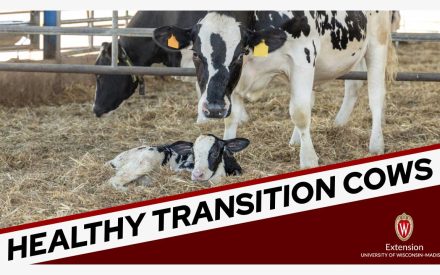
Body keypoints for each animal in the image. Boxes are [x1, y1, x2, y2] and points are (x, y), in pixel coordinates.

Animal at [108, 135, 249, 191]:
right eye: (194, 153)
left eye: (215, 153)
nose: (197, 174)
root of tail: (114, 160)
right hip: (145, 162)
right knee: (112, 181)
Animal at [155, 10, 396, 169]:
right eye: (196, 54)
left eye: (238, 55)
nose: (213, 109)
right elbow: (231, 117)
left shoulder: (302, 56)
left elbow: (299, 113)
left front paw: (308, 160)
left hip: (377, 40)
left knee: (375, 94)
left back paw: (376, 144)